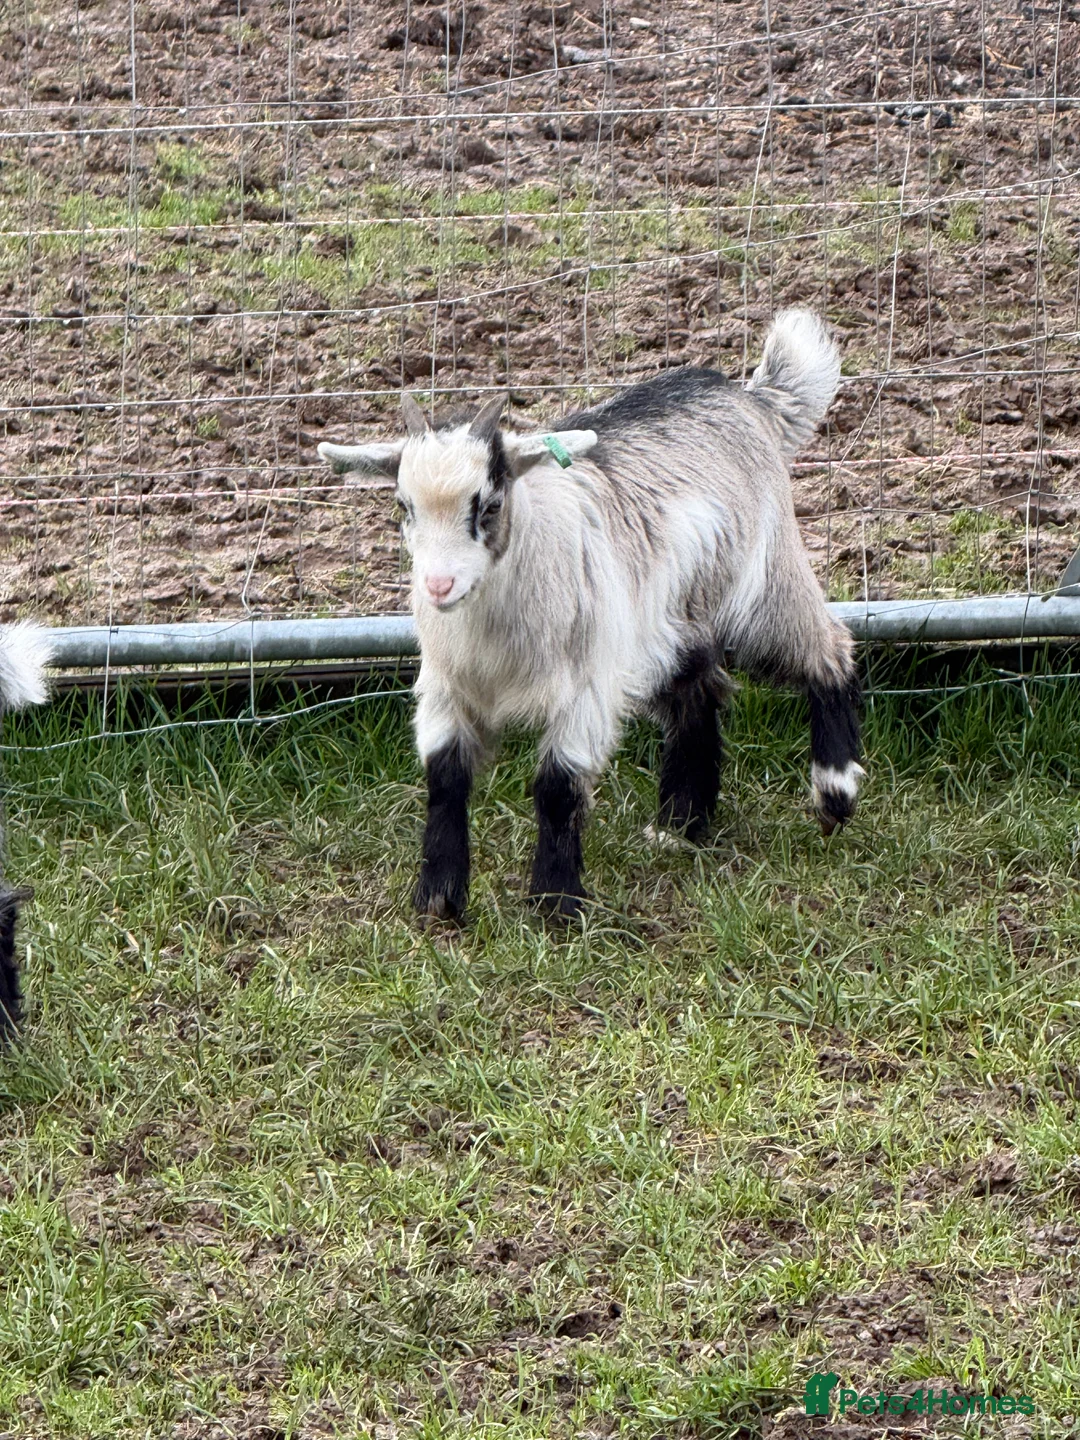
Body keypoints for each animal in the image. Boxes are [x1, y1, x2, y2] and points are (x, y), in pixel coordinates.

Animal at [319, 310, 862, 920]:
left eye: (490, 505)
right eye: (403, 506)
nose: (439, 585)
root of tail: (750, 398)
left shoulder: (586, 687)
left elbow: (557, 788)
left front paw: (554, 903)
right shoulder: (445, 686)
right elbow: (445, 779)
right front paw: (439, 896)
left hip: (763, 589)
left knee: (829, 650)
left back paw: (835, 791)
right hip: (668, 621)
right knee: (698, 692)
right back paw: (679, 825)